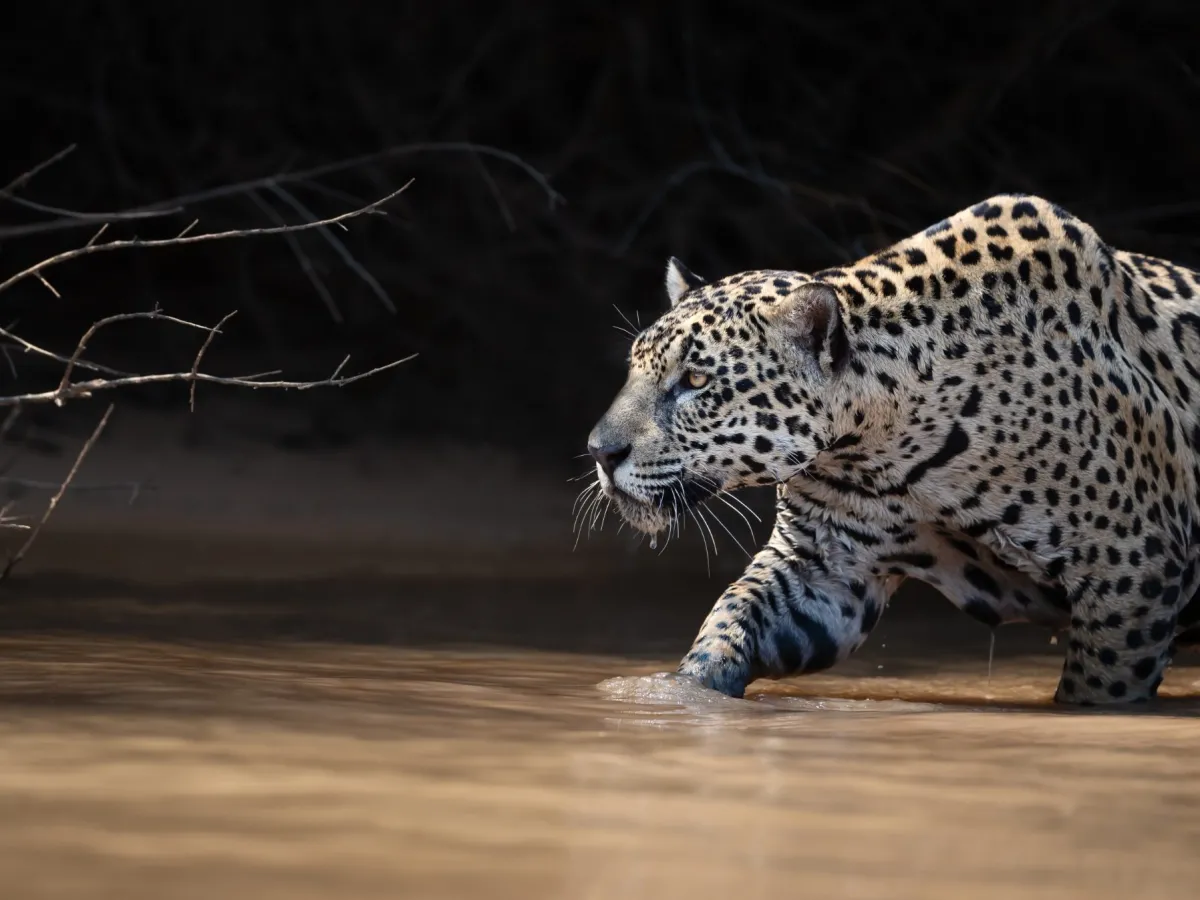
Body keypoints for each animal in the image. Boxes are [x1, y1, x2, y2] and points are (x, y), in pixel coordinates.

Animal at [584, 193, 1200, 706]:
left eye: (694, 380)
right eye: (635, 367)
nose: (599, 451)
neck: (882, 448)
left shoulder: (1131, 571)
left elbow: (1097, 691)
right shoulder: (824, 564)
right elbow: (732, 614)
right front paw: (683, 693)